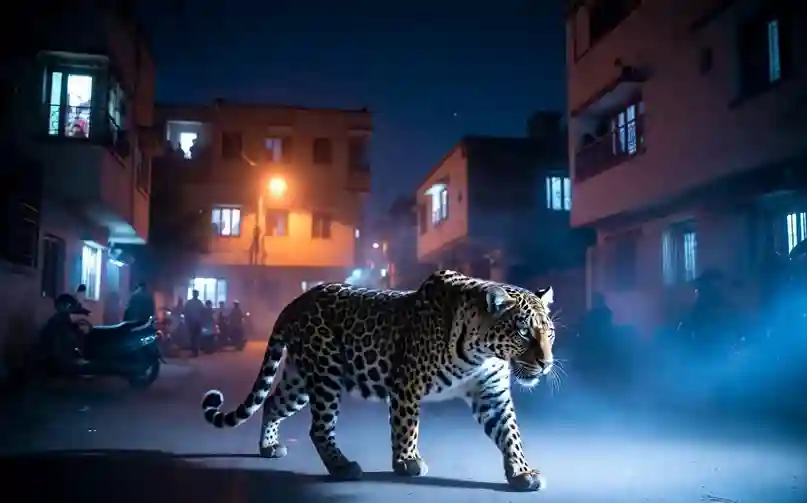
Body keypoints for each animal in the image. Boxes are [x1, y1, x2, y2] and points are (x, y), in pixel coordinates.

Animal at [201, 269, 557, 492]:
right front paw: (407, 462)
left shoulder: (491, 393)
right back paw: (342, 467)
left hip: (300, 378)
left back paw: (268, 446)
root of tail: (295, 301)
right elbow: (407, 427)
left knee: (274, 401)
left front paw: (522, 472)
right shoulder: (407, 384)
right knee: (319, 428)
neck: (481, 351)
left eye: (549, 333)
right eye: (523, 332)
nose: (546, 363)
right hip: (326, 371)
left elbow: (510, 433)